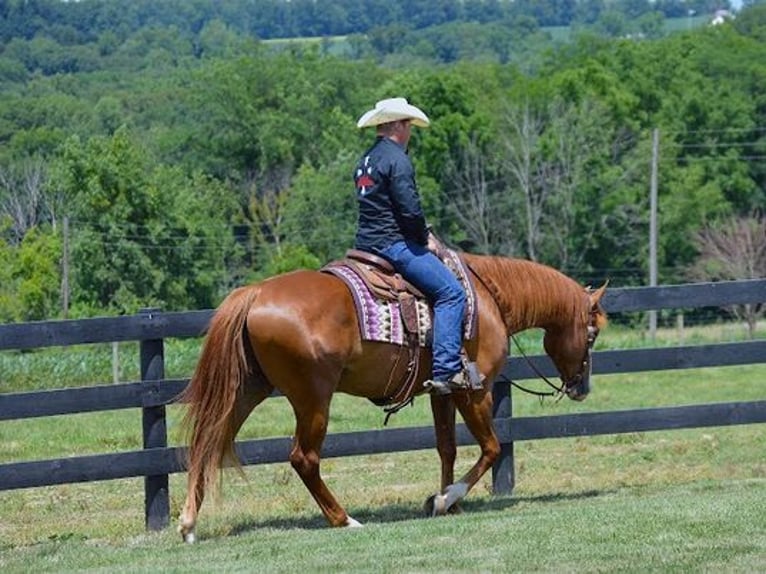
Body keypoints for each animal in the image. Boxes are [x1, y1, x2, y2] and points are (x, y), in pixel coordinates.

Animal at [177, 255, 608, 544]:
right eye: (592, 334)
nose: (581, 388)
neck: (487, 302)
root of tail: (255, 293)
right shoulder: (474, 391)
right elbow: (491, 448)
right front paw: (444, 499)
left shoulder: (443, 392)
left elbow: (447, 447)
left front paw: (448, 501)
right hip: (312, 398)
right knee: (304, 458)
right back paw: (343, 519)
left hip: (247, 390)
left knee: (208, 443)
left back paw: (188, 524)